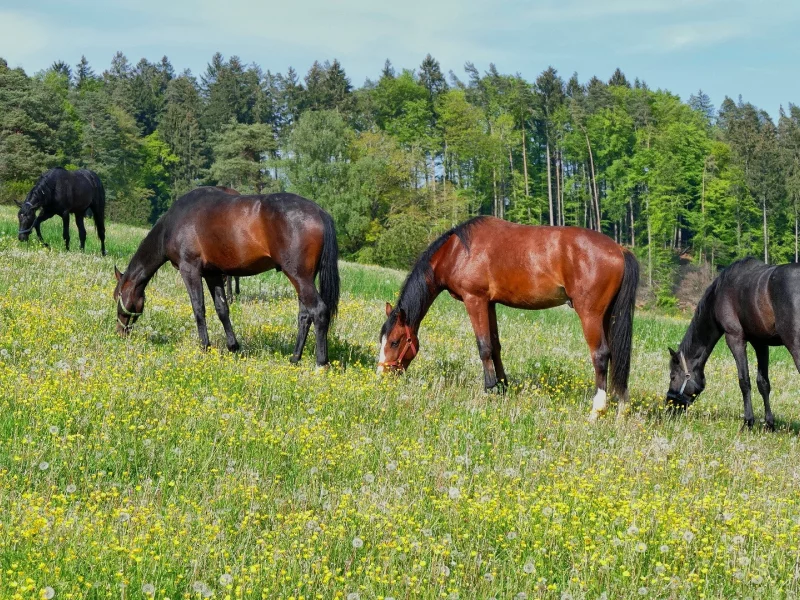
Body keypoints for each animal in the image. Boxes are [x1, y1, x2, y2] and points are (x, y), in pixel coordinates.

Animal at [112, 188, 338, 366]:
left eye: (118, 297)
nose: (120, 333)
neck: (174, 222)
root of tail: (319, 212)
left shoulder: (190, 270)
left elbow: (199, 309)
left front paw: (204, 346)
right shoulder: (213, 274)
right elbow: (222, 309)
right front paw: (233, 346)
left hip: (299, 276)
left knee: (318, 311)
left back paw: (320, 363)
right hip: (304, 278)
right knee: (304, 315)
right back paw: (294, 358)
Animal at [378, 218, 640, 420]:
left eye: (394, 341)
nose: (382, 376)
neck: (457, 251)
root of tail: (620, 250)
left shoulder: (475, 300)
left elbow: (483, 346)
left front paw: (489, 388)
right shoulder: (490, 303)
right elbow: (495, 346)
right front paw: (503, 386)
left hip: (590, 314)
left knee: (601, 355)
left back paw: (597, 410)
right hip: (608, 316)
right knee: (617, 356)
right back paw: (621, 408)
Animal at [664, 258, 800, 432]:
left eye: (673, 376)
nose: (669, 407)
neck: (719, 293)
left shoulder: (734, 338)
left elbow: (744, 381)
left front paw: (748, 422)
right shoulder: (760, 343)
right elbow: (763, 383)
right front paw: (769, 424)